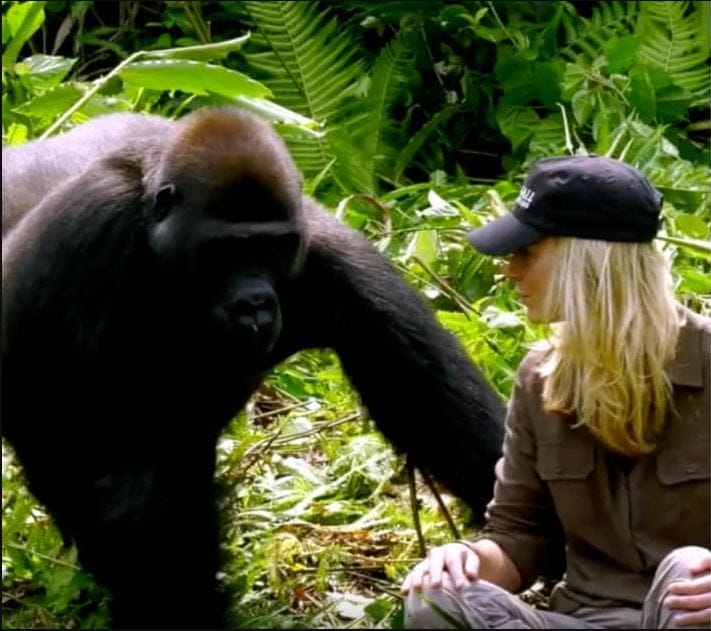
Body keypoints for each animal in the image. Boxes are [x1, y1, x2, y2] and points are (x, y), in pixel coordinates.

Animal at [2, 107, 505, 629]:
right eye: (224, 250)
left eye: (271, 248)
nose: (256, 304)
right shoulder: (92, 230)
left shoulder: (330, 255)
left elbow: (434, 407)